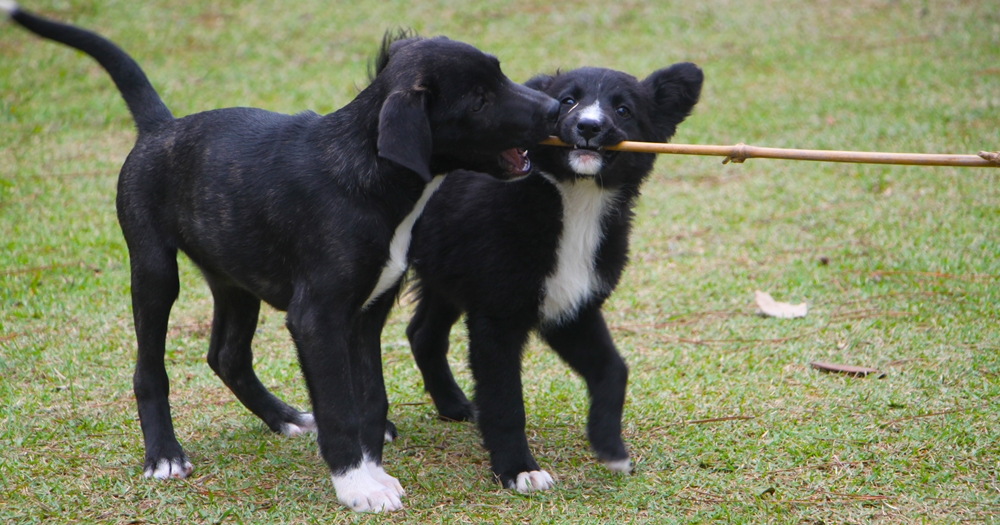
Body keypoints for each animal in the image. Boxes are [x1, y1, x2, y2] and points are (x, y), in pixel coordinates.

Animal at [3, 3, 560, 512]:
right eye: (480, 101)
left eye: (500, 71)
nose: (558, 109)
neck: (368, 173)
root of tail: (161, 127)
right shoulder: (317, 318)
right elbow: (339, 406)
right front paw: (356, 485)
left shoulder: (366, 313)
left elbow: (370, 400)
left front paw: (372, 470)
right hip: (154, 269)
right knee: (149, 369)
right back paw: (164, 455)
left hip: (233, 277)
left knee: (226, 355)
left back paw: (286, 417)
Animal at [406, 62, 704, 492]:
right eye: (567, 101)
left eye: (623, 110)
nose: (588, 126)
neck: (575, 202)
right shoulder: (497, 317)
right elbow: (505, 399)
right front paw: (517, 469)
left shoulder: (572, 306)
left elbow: (614, 369)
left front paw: (610, 446)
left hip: (444, 273)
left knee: (422, 333)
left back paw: (454, 405)